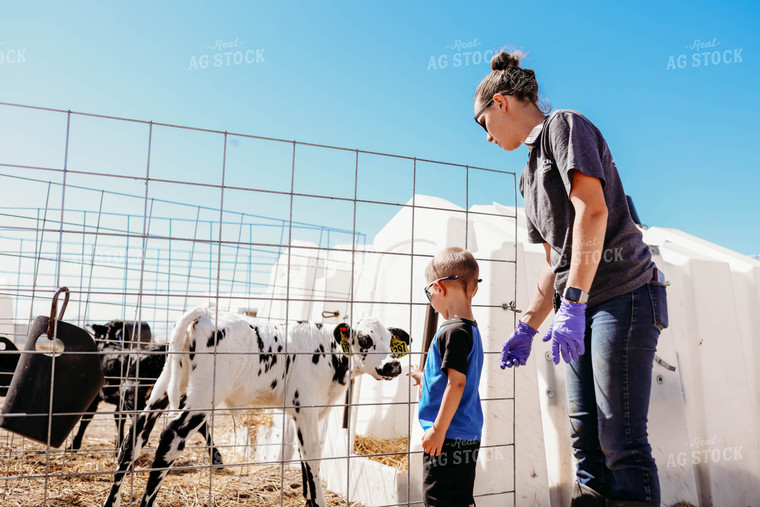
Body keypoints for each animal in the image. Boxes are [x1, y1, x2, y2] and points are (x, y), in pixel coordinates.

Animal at [105, 308, 410, 507]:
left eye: (390, 341)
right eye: (365, 339)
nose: (393, 365)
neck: (329, 350)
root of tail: (205, 315)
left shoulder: (299, 413)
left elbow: (303, 460)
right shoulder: (307, 409)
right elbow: (313, 458)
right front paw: (318, 502)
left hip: (163, 388)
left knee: (133, 439)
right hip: (203, 396)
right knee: (170, 437)